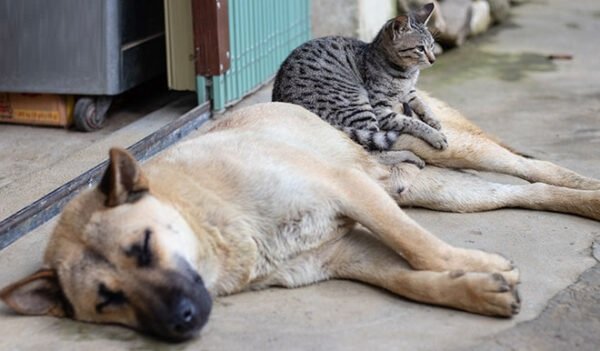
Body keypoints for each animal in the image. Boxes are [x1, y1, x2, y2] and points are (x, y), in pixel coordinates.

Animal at [1, 97, 600, 342]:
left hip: (454, 153)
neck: (210, 217)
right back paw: (583, 200)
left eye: (143, 248)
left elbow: (418, 247)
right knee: (527, 192)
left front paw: (473, 265)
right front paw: (476, 287)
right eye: (108, 301)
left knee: (532, 167)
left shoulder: (349, 191)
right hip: (447, 193)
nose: (182, 323)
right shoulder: (344, 254)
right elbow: (410, 279)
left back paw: (587, 190)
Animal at [272, 2, 446, 152]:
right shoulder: (380, 108)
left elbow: (422, 103)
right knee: (375, 148)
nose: (433, 60)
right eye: (420, 49)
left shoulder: (410, 91)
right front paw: (435, 135)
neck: (407, 74)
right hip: (358, 105)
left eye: (431, 45)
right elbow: (411, 122)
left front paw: (434, 120)